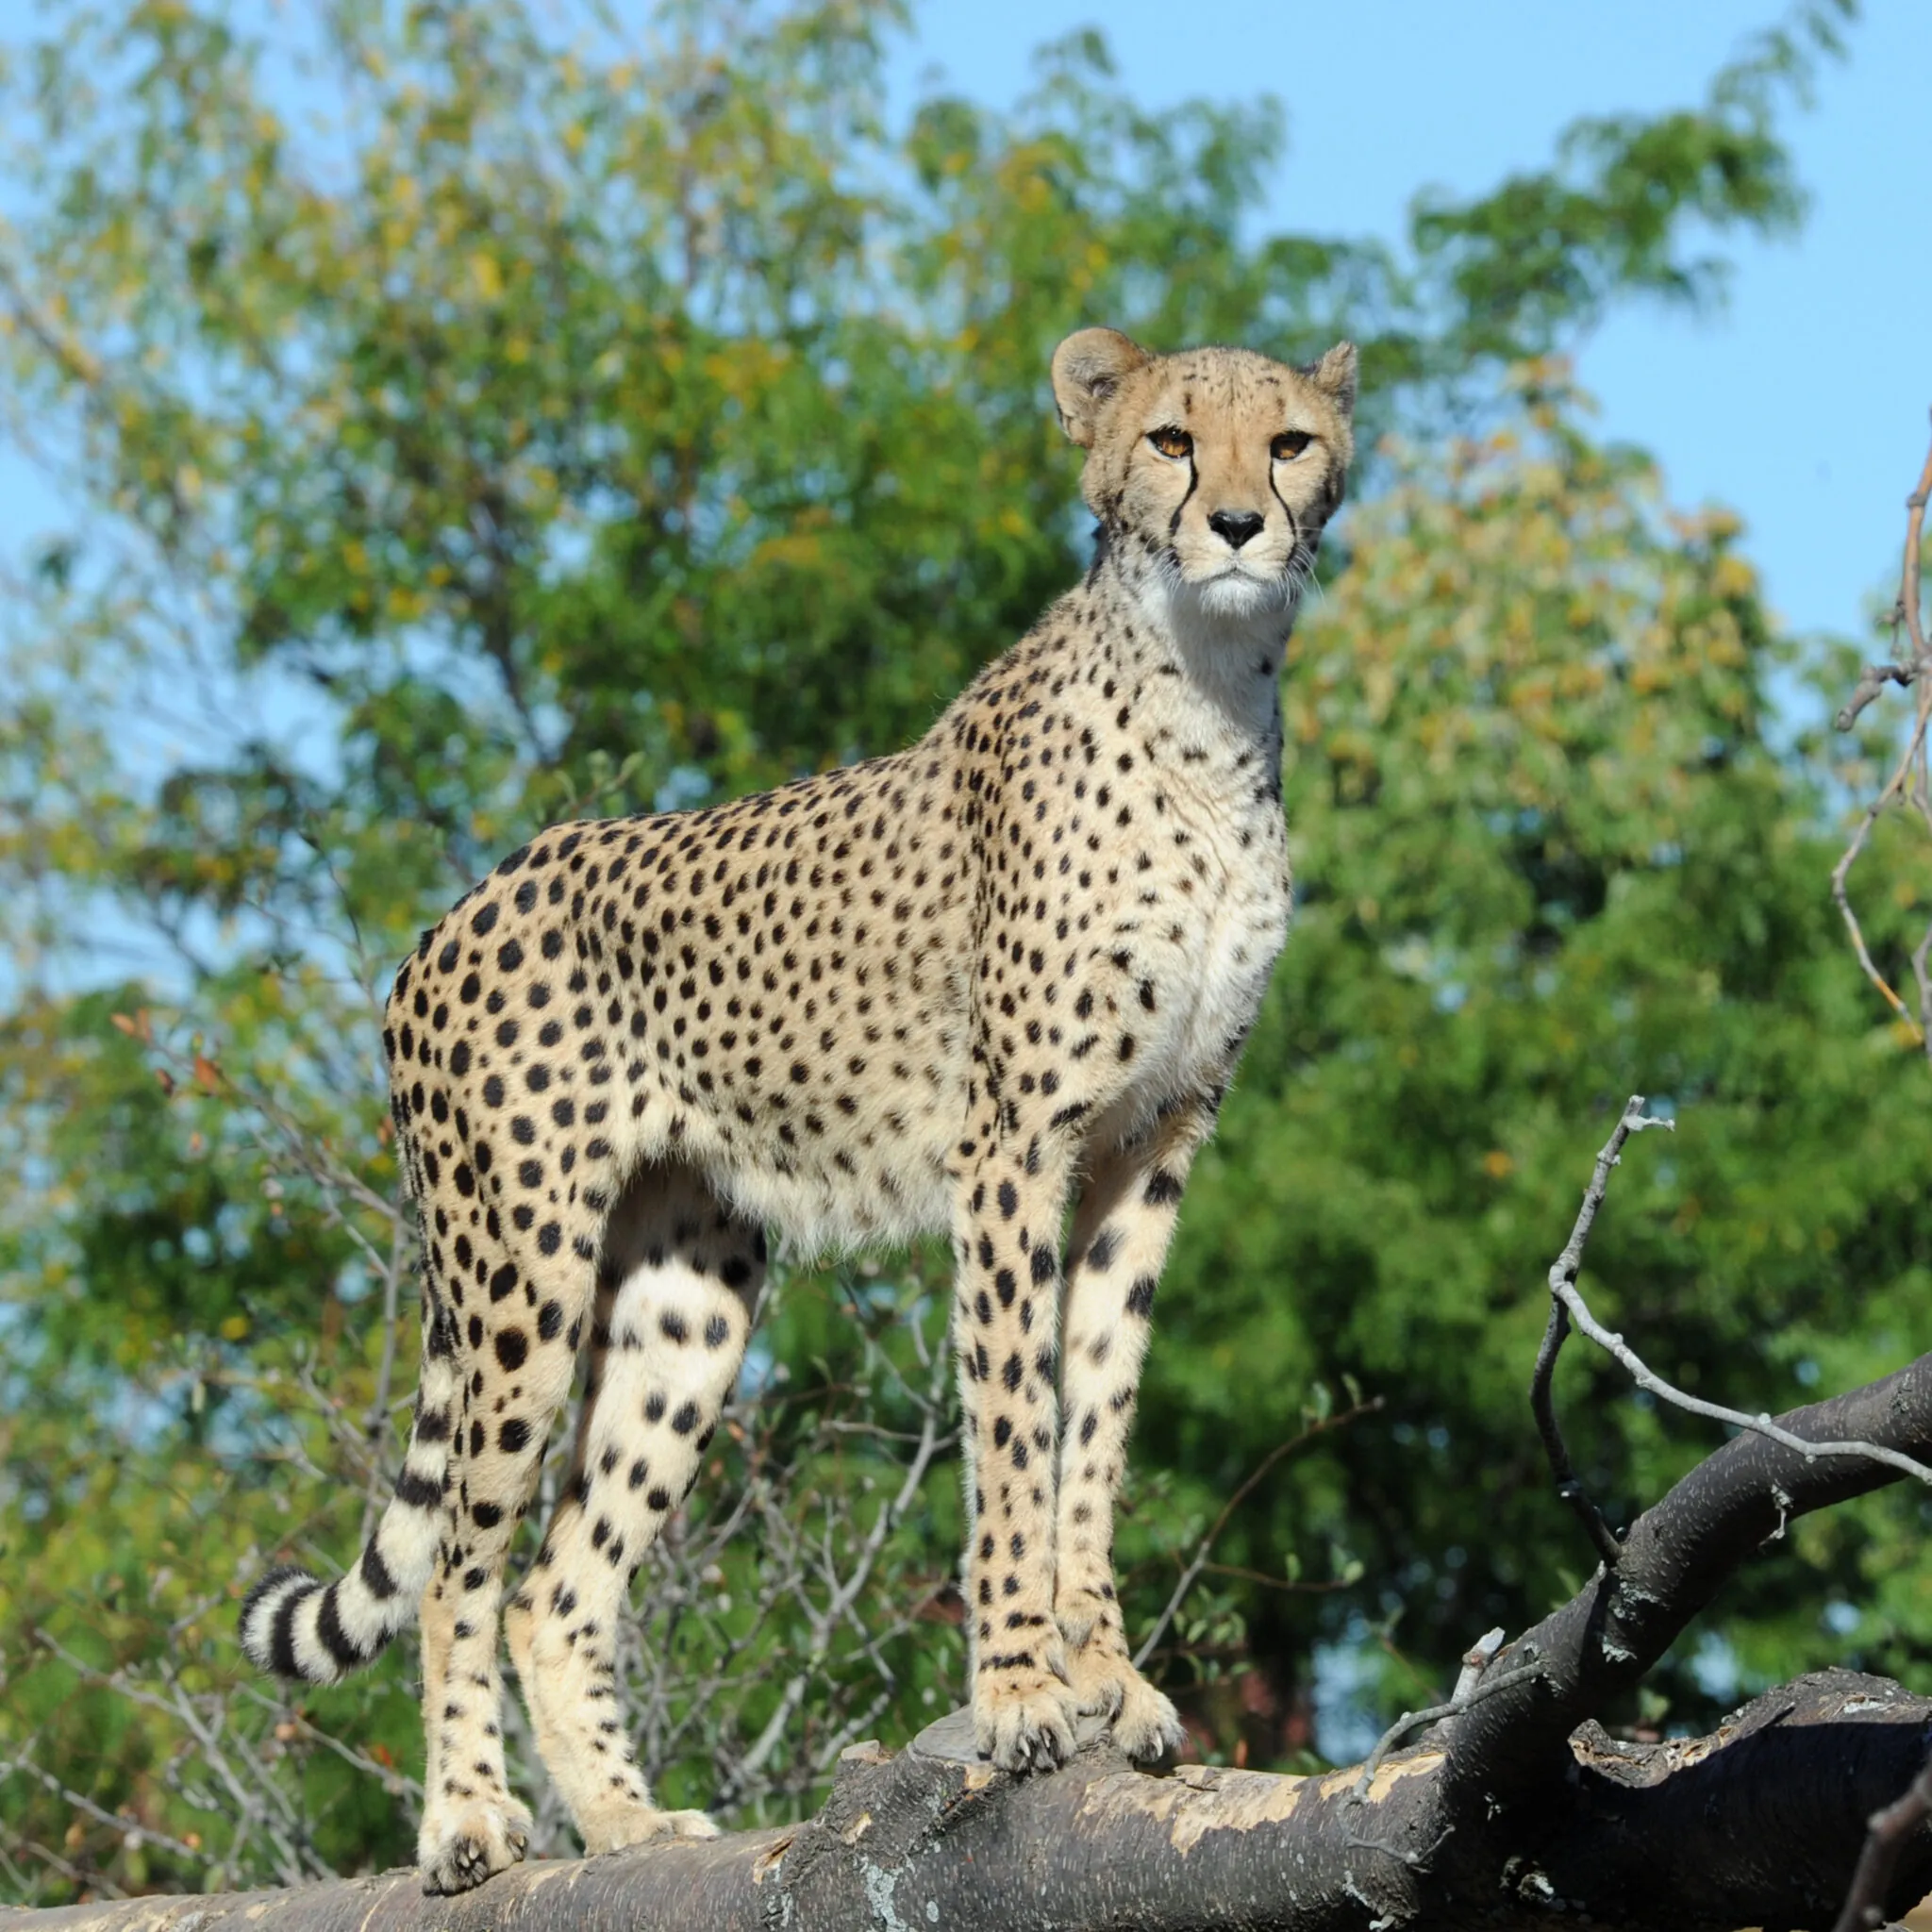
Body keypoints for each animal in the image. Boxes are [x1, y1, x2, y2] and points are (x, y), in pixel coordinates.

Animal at [239, 325, 1358, 1893]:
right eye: (1174, 441)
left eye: (1294, 441)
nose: (1244, 524)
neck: (1208, 701)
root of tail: (464, 901)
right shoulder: (1010, 1147)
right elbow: (1014, 1425)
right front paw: (1019, 1690)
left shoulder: (1152, 1147)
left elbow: (1096, 1423)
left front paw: (1107, 1679)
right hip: (519, 1269)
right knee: (465, 1559)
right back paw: (466, 1820)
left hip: (686, 1292)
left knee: (555, 1582)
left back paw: (625, 1827)